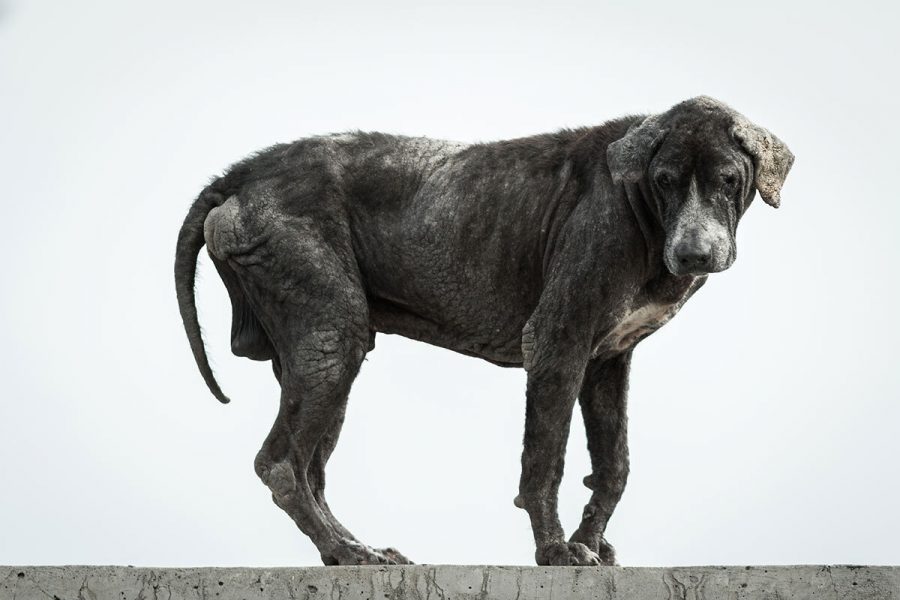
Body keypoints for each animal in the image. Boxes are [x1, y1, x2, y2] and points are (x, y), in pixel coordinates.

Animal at [176, 96, 796, 564]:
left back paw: (353, 549)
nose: (694, 254)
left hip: (319, 355)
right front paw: (556, 552)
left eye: (726, 179)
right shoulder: (557, 343)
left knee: (311, 470)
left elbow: (613, 466)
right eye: (665, 180)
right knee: (282, 464)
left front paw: (589, 543)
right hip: (333, 342)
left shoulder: (606, 361)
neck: (639, 207)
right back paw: (347, 553)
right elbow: (545, 460)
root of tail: (242, 173)